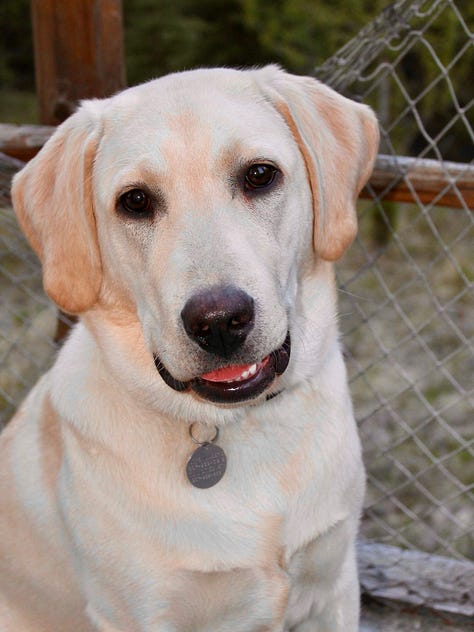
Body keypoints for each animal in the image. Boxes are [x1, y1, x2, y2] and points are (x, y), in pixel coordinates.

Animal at [0, 66, 378, 628]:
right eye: (135, 201)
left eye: (259, 175)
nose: (219, 321)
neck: (233, 429)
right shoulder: (136, 614)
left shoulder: (334, 586)